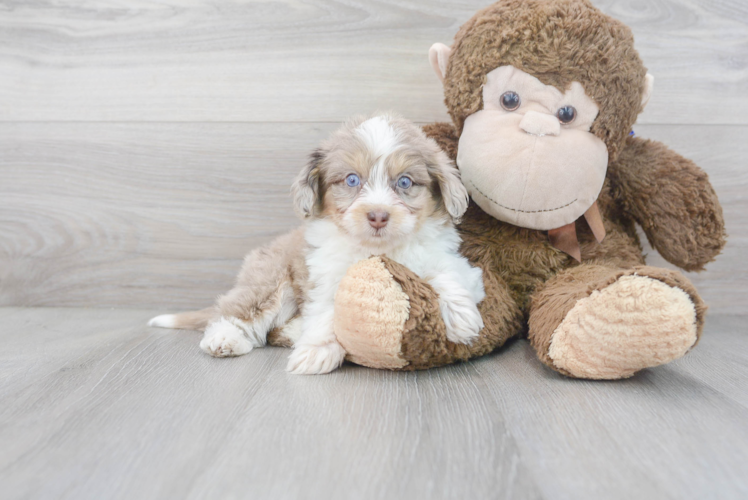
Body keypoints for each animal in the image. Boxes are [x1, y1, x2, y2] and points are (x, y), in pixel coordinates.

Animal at [150, 114, 486, 376]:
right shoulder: (325, 275)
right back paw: (225, 337)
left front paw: (462, 318)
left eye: (404, 182)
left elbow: (446, 271)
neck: (377, 249)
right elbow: (327, 311)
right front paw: (317, 350)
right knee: (237, 311)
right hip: (270, 280)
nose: (378, 215)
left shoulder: (451, 260)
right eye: (351, 180)